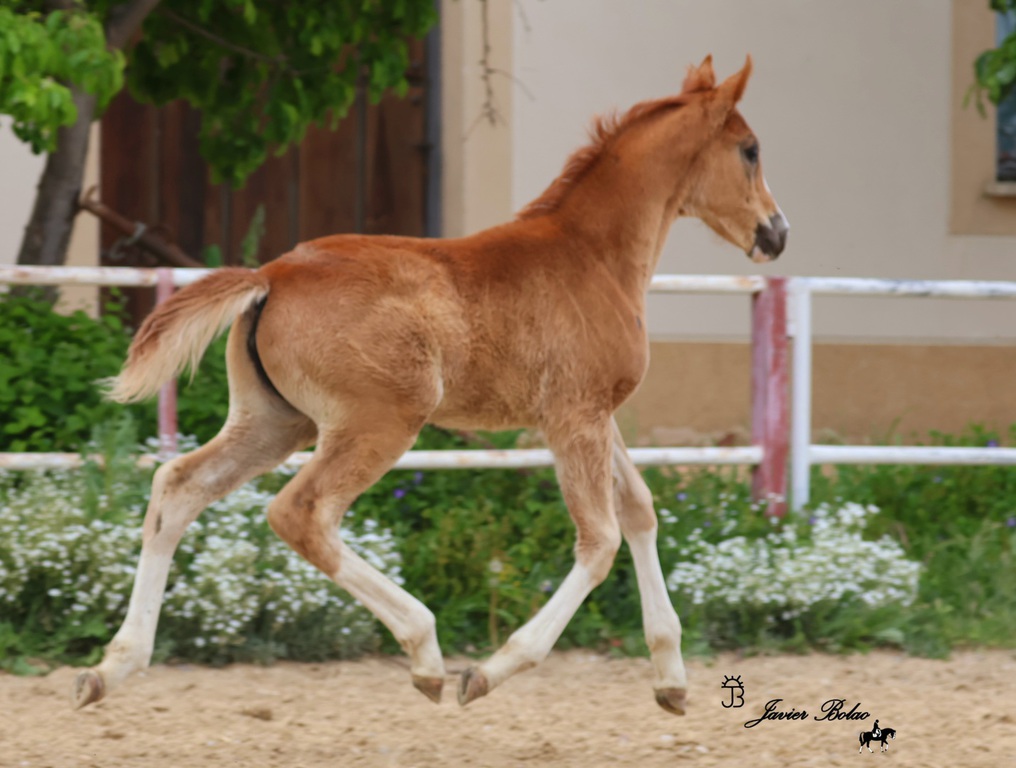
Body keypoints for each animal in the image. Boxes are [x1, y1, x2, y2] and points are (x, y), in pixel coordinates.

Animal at [73, 54, 787, 713]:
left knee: (178, 488)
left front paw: (671, 678)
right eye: (750, 150)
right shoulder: (575, 417)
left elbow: (639, 510)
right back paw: (425, 650)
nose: (776, 233)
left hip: (275, 422)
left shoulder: (593, 415)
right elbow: (601, 538)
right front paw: (491, 670)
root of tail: (272, 274)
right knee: (301, 513)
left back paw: (110, 667)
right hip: (381, 420)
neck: (590, 253)